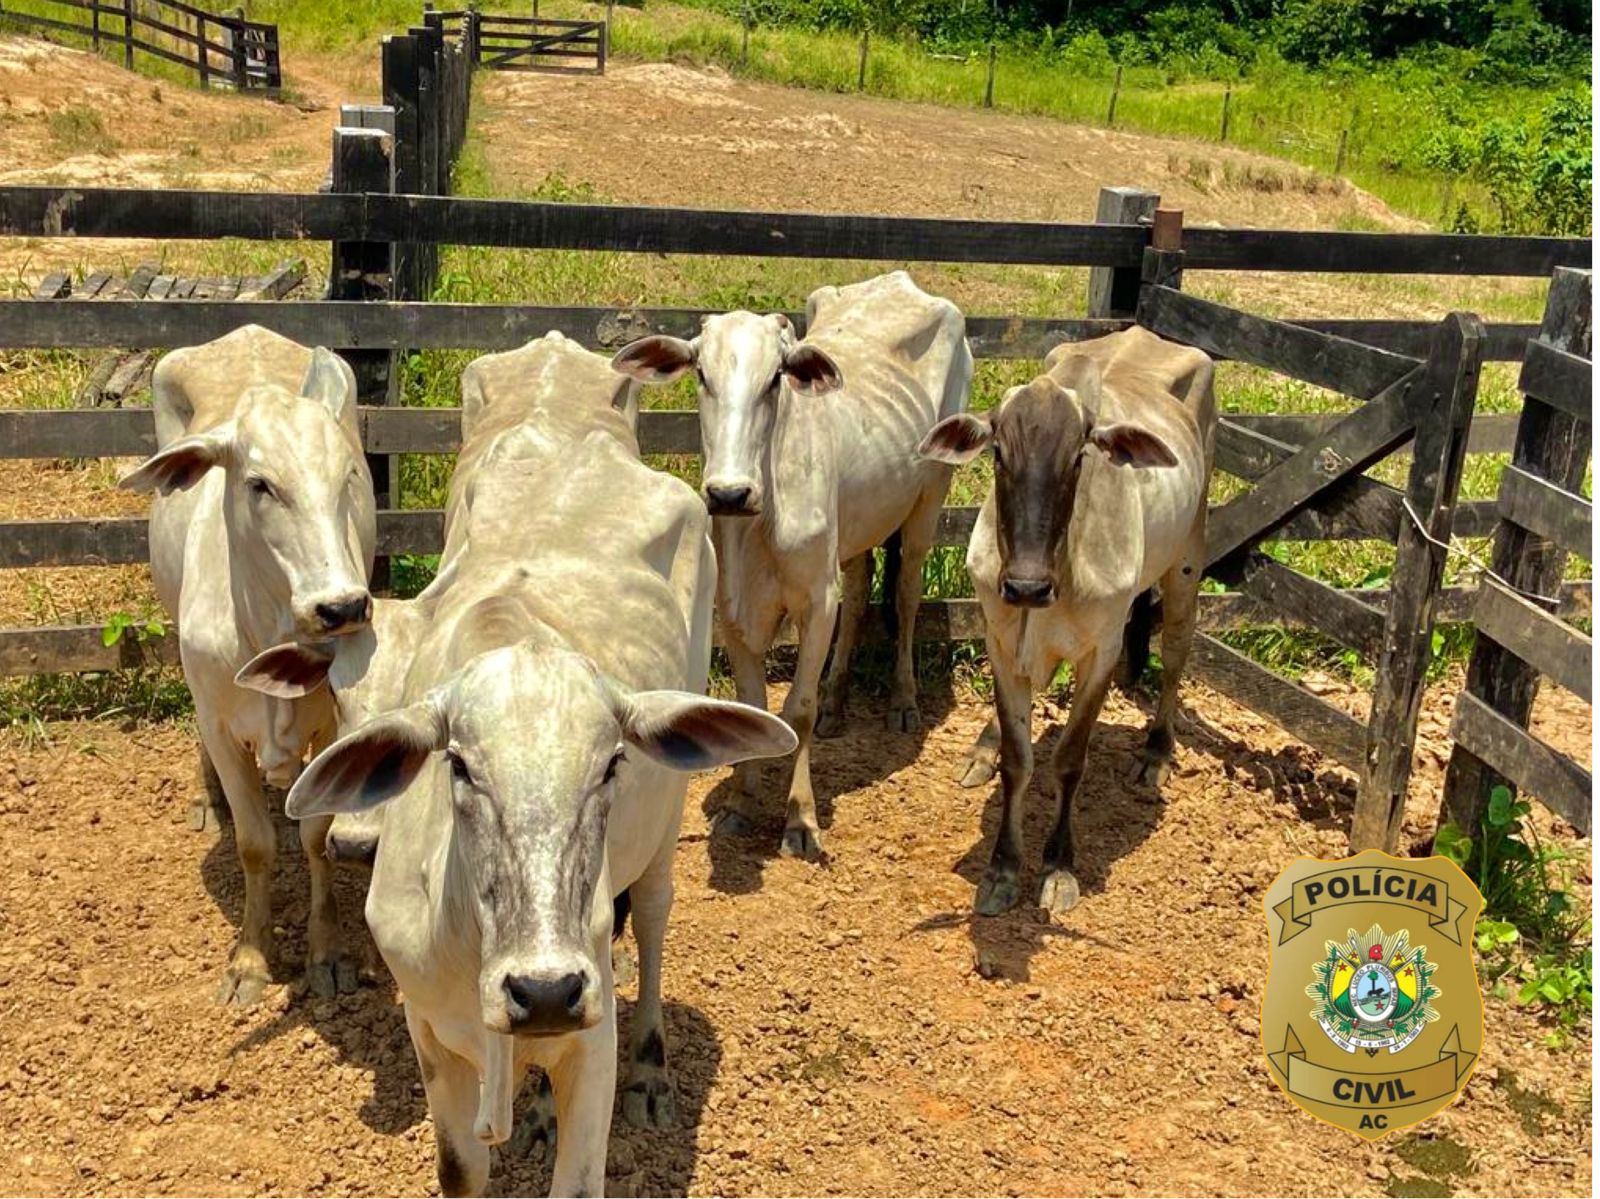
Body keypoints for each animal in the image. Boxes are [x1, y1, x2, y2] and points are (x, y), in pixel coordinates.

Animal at [120, 324, 374, 998]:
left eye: (347, 477)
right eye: (260, 484)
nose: (341, 606)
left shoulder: (333, 724)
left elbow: (317, 836)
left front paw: (327, 953)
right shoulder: (219, 721)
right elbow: (255, 844)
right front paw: (251, 959)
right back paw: (208, 803)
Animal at [254, 331, 793, 1190]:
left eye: (610, 764)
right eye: (459, 766)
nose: (545, 988)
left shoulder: (590, 1044)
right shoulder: (431, 1038)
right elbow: (460, 1169)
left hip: (664, 826)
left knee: (652, 915)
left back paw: (652, 1072)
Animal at [608, 270, 966, 858]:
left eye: (775, 378)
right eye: (701, 373)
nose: (729, 492)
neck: (759, 522)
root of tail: (900, 280)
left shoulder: (816, 602)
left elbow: (797, 707)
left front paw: (800, 818)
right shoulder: (733, 609)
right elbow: (752, 701)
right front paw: (739, 804)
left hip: (930, 497)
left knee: (907, 594)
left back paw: (903, 700)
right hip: (859, 524)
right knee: (861, 590)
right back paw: (838, 701)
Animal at [921, 328, 1216, 915]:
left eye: (1079, 457)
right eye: (998, 452)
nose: (1026, 586)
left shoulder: (1101, 652)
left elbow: (1069, 760)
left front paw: (1058, 866)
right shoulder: (1000, 639)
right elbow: (1019, 760)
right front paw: (1003, 869)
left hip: (1187, 561)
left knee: (1176, 652)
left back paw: (1156, 752)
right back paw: (981, 750)